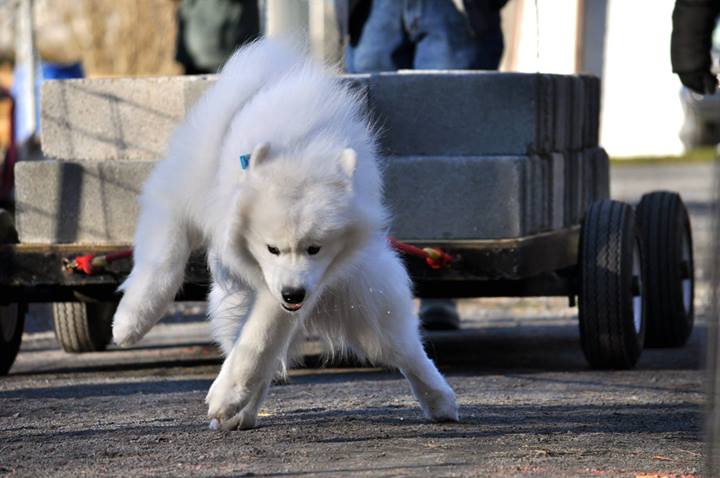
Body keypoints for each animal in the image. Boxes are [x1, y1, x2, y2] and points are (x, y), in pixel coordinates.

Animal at [113, 39, 462, 432]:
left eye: (315, 249)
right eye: (272, 248)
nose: (294, 294)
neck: (297, 153)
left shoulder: (292, 289)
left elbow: (259, 341)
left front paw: (224, 395)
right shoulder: (177, 198)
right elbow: (163, 263)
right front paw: (129, 324)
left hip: (369, 310)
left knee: (407, 352)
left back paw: (441, 401)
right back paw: (241, 412)